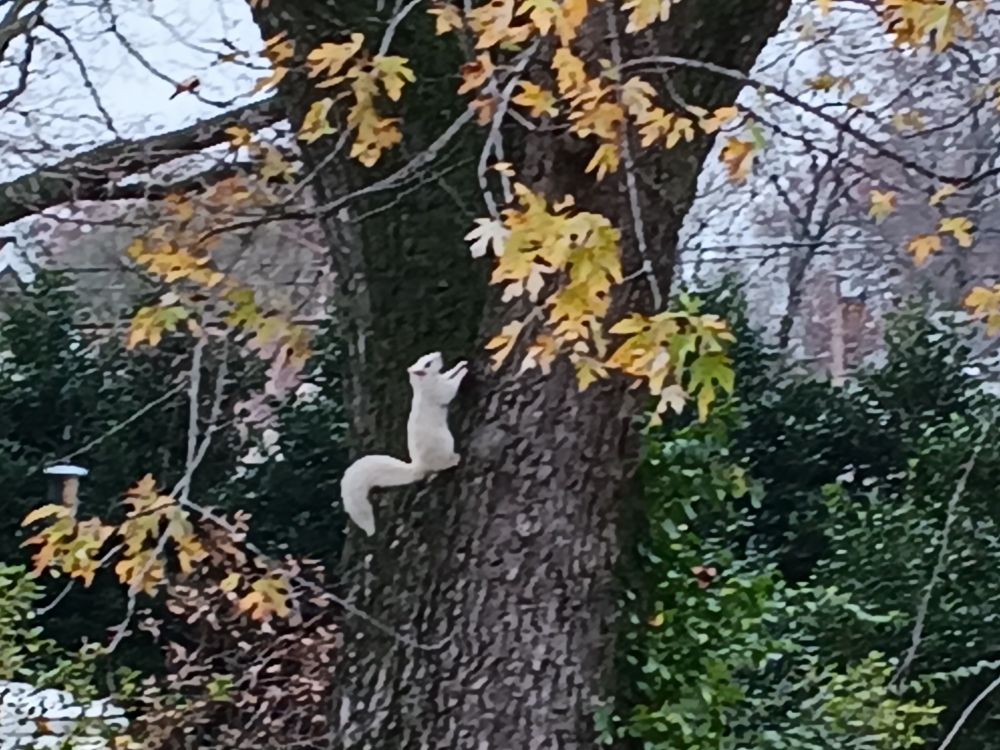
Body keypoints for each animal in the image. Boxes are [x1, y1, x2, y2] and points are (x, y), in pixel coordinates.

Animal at [340, 352, 468, 536]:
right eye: (428, 364)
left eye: (426, 358)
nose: (440, 354)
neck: (424, 384)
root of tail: (419, 467)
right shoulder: (438, 392)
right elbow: (450, 390)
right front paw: (463, 372)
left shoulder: (441, 379)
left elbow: (448, 374)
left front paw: (460, 365)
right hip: (443, 443)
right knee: (440, 466)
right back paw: (454, 459)